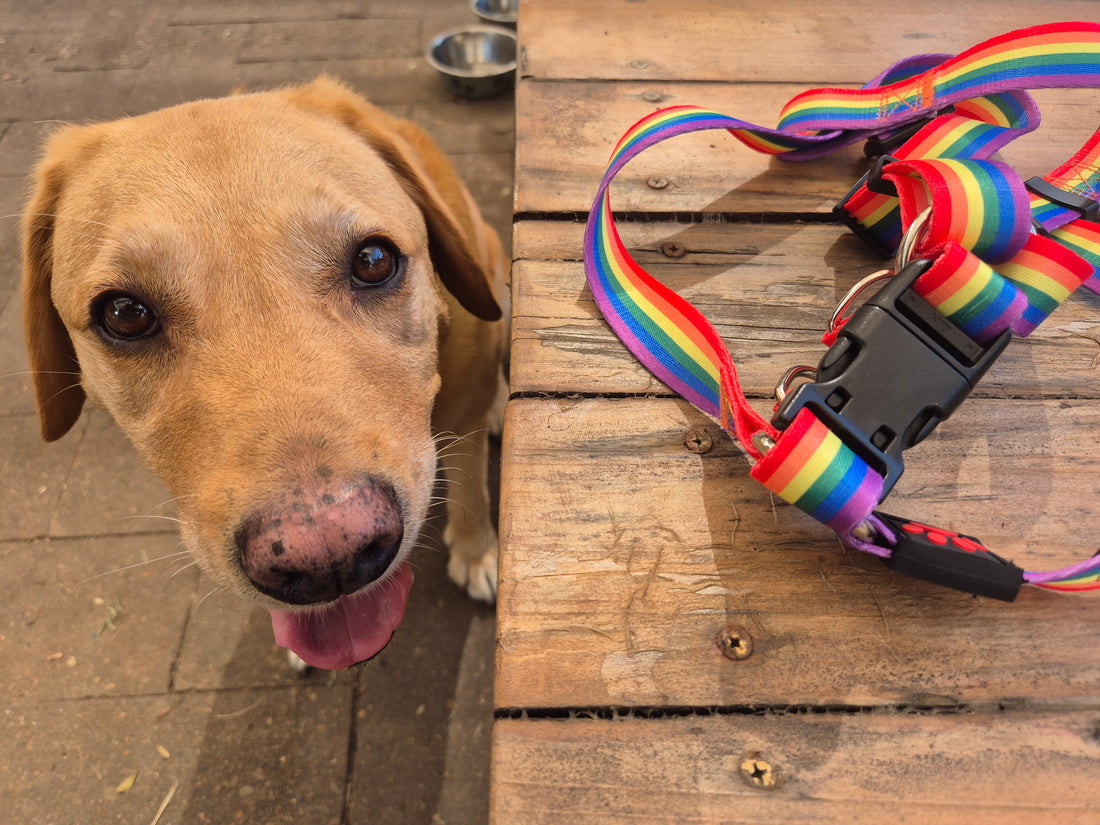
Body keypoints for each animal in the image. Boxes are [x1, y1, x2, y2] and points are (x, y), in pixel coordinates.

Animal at [20, 75, 510, 673]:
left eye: (373, 260)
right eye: (124, 314)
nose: (328, 558)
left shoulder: (468, 393)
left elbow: (471, 485)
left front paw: (478, 551)